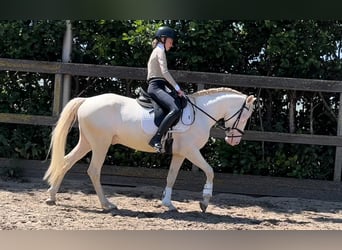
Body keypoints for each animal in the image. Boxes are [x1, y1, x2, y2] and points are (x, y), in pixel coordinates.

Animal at [44, 87, 255, 212]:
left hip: (88, 142)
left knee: (66, 162)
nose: (234, 140)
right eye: (245, 115)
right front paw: (204, 202)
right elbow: (210, 171)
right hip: (100, 144)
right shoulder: (191, 151)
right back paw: (107, 205)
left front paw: (168, 204)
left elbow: (171, 177)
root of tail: (87, 101)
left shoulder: (180, 153)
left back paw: (52, 197)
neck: (201, 114)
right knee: (94, 170)